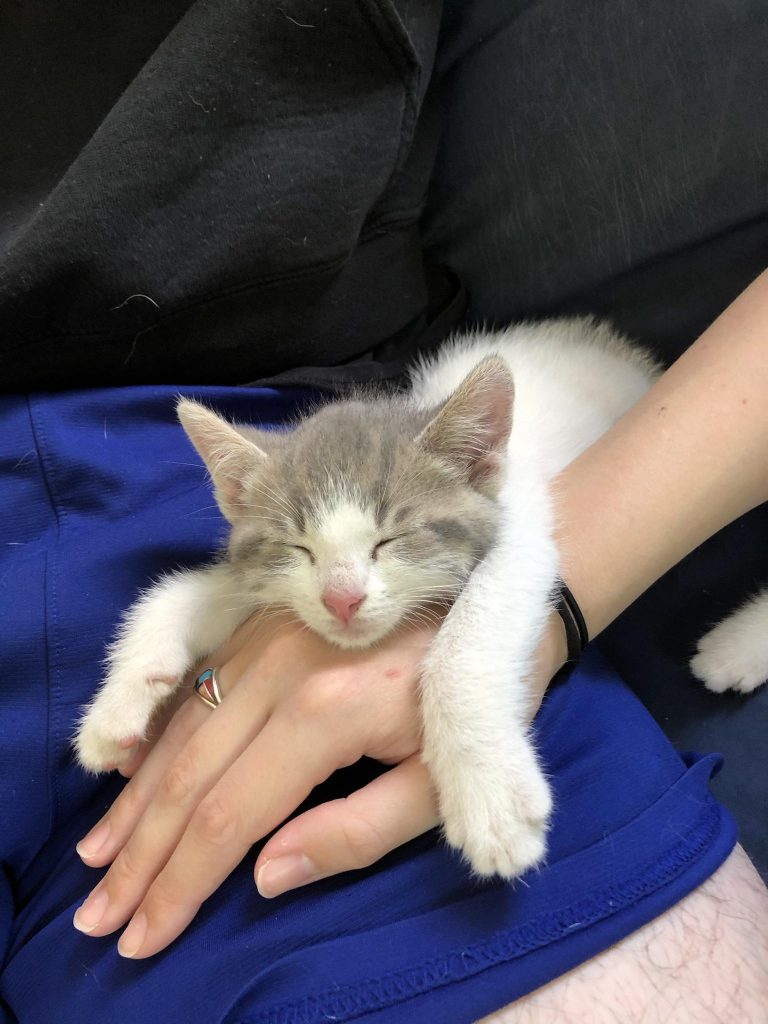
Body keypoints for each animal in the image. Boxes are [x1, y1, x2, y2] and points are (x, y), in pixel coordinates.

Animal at [75, 319, 765, 880]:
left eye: (390, 539)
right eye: (300, 548)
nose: (342, 600)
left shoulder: (522, 532)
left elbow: (467, 642)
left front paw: (489, 799)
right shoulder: (263, 576)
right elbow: (179, 592)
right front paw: (115, 711)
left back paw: (737, 649)